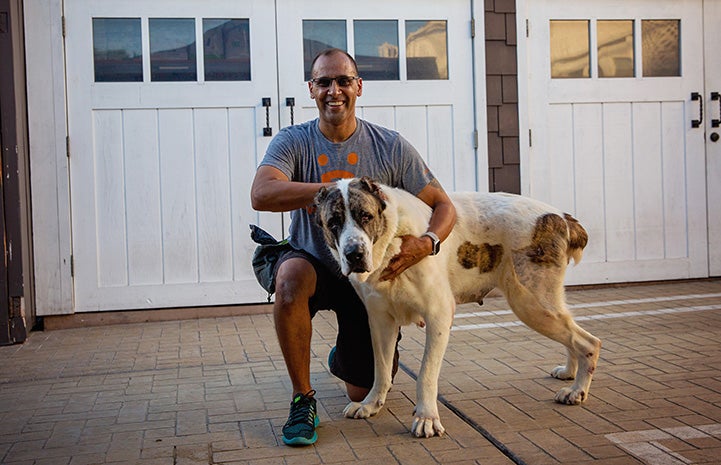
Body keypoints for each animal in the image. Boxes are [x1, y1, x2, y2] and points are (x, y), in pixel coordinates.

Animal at [316, 176, 600, 436]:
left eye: (366, 216)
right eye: (333, 223)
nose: (354, 254)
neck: (392, 240)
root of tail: (561, 217)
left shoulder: (438, 315)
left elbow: (426, 374)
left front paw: (427, 418)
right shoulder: (380, 321)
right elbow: (381, 369)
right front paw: (371, 404)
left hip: (532, 303)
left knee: (588, 341)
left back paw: (577, 391)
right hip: (542, 305)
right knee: (572, 334)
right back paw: (569, 372)